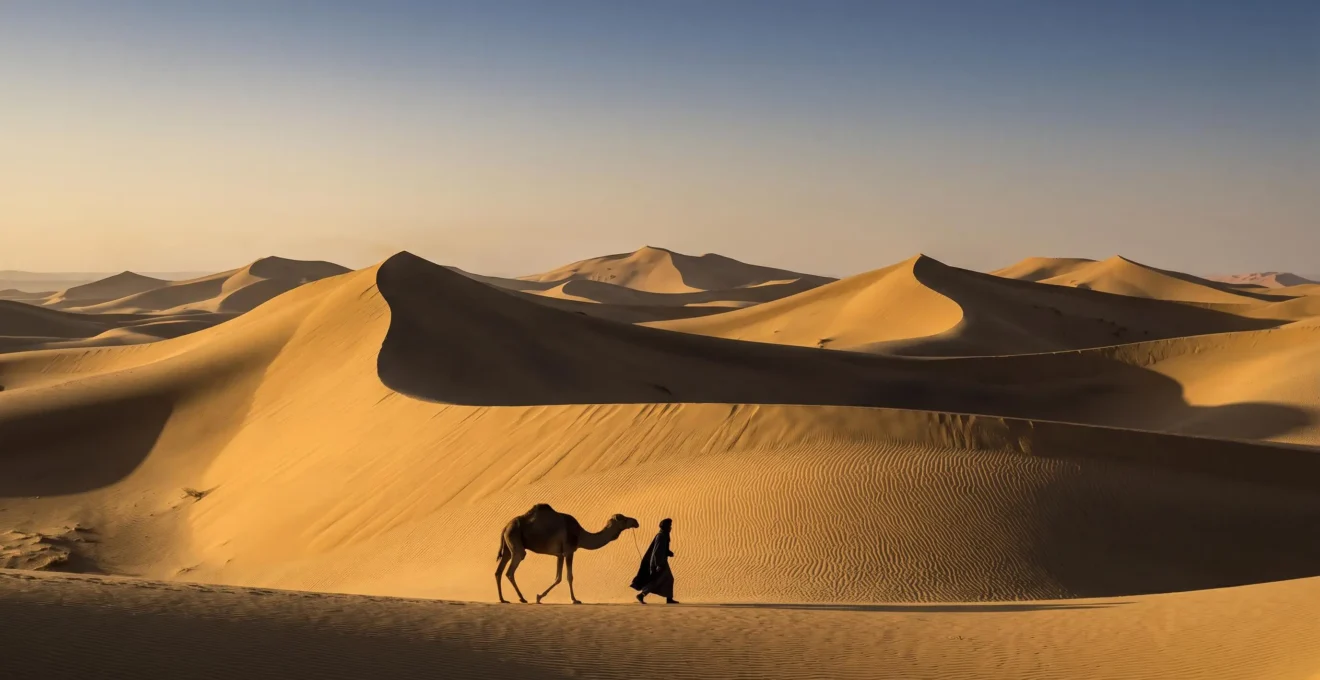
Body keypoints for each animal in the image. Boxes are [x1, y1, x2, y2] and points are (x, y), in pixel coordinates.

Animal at [496, 503, 640, 604]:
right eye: (623, 519)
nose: (636, 521)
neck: (580, 535)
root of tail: (505, 527)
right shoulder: (569, 551)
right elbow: (569, 576)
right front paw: (575, 600)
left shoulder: (559, 554)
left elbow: (558, 577)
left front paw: (539, 597)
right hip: (516, 542)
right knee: (510, 571)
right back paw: (522, 598)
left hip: (508, 546)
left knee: (499, 571)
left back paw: (503, 599)